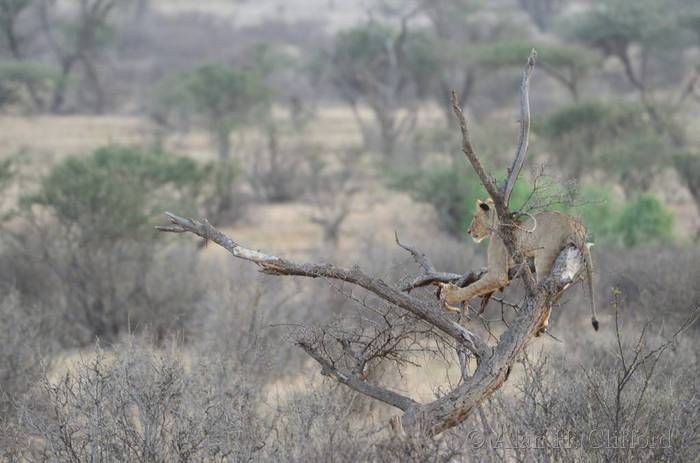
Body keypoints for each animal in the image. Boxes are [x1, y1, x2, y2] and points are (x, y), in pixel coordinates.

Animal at [439, 198, 598, 332]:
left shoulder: (498, 273)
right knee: (559, 290)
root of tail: (573, 224)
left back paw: (542, 323)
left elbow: (474, 287)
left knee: (547, 294)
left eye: (475, 217)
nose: (468, 231)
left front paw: (449, 294)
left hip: (544, 258)